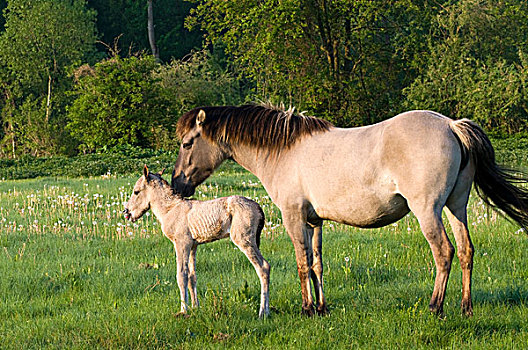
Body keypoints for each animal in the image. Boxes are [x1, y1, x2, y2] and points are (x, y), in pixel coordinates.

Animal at [124, 166, 270, 318]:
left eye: (136, 191)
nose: (126, 212)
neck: (170, 209)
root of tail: (258, 207)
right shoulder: (193, 245)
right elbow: (192, 276)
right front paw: (195, 308)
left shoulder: (182, 243)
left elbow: (181, 275)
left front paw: (184, 310)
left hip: (243, 239)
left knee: (263, 267)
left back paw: (263, 312)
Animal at [171, 104, 524, 318]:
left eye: (187, 144)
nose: (177, 185)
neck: (284, 151)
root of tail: (451, 125)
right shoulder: (314, 222)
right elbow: (317, 264)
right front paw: (321, 308)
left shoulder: (293, 217)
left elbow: (302, 264)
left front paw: (306, 308)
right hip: (456, 206)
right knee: (465, 251)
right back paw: (465, 308)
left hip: (428, 211)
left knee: (444, 253)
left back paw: (435, 307)